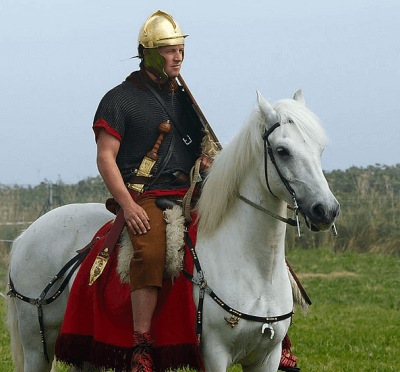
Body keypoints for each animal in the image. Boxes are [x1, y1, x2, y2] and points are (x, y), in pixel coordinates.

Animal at [7, 91, 338, 372]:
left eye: (321, 148)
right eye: (282, 151)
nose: (326, 210)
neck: (254, 269)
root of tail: (25, 235)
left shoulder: (265, 358)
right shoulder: (214, 356)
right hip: (37, 348)